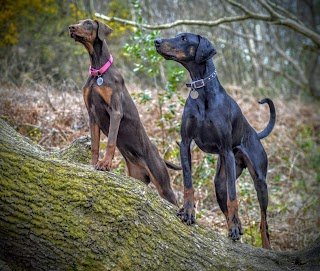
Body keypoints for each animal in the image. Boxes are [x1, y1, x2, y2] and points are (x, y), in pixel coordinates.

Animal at [69, 19, 178, 206]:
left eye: (88, 23)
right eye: (79, 22)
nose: (71, 27)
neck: (98, 71)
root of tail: (159, 157)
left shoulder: (115, 111)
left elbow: (111, 141)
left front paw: (105, 164)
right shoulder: (92, 116)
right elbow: (95, 145)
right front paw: (92, 163)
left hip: (162, 183)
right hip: (137, 178)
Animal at [155, 33, 276, 250]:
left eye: (184, 37)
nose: (157, 42)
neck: (201, 88)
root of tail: (255, 133)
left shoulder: (226, 150)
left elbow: (234, 196)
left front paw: (235, 225)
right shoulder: (185, 143)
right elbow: (188, 183)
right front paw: (188, 211)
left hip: (259, 180)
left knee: (264, 220)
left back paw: (262, 243)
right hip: (219, 182)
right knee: (226, 204)